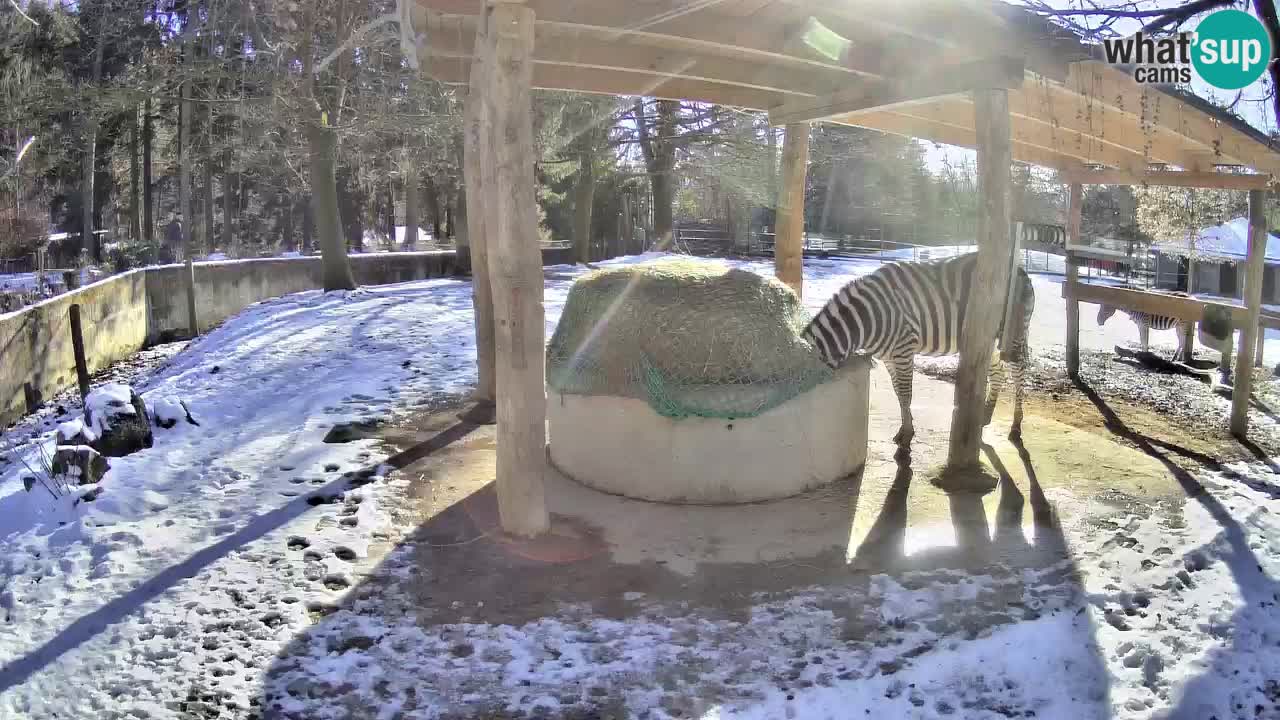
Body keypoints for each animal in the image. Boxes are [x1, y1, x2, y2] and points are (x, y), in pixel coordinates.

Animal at [803, 252, 1034, 448]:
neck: (866, 320)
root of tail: (1019, 268)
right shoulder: (888, 357)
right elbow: (898, 392)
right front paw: (908, 424)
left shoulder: (904, 350)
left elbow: (906, 393)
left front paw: (906, 433)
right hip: (988, 339)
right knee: (998, 373)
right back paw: (985, 416)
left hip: (1014, 332)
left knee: (1019, 374)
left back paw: (1016, 426)